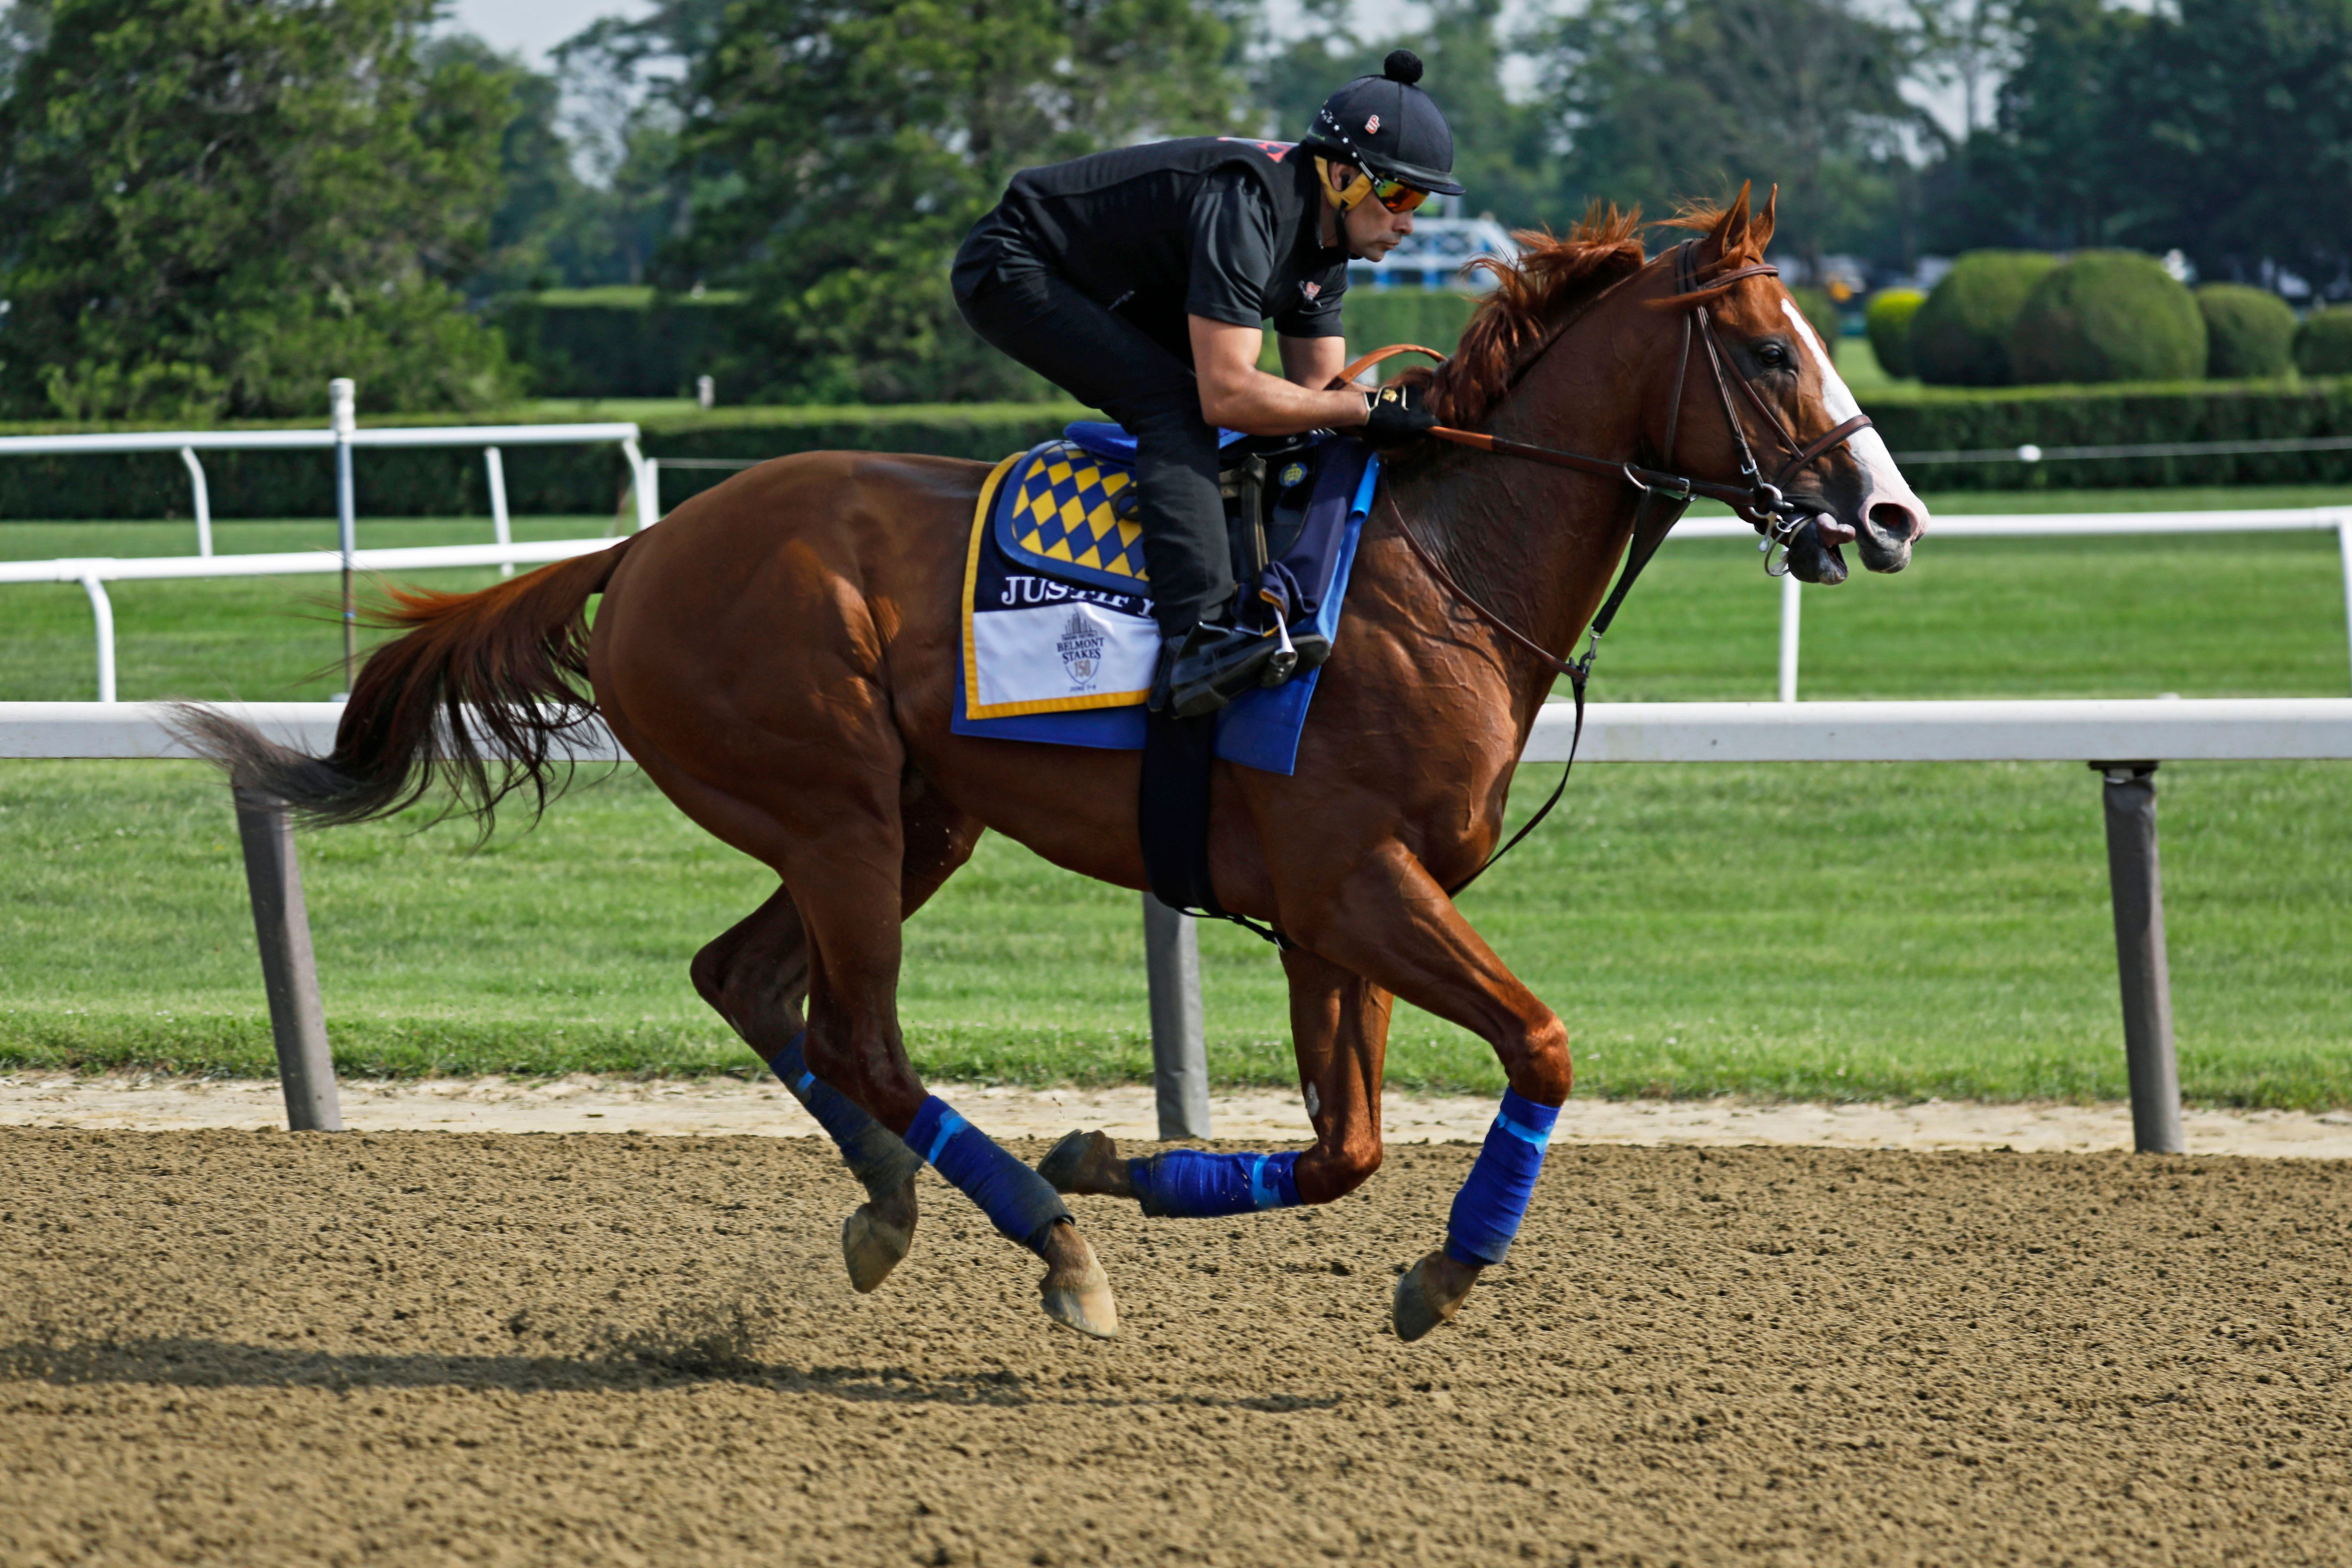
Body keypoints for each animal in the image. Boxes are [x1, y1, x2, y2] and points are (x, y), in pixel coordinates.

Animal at [184, 189, 1928, 1344]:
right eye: (1769, 353)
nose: (1891, 513)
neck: (1430, 568)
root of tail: (645, 541)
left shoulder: (1334, 909)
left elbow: (1346, 1145)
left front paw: (1133, 1161)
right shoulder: (1358, 882)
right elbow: (1542, 1049)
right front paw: (1436, 1270)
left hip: (908, 821)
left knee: (751, 984)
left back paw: (897, 1203)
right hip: (832, 808)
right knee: (858, 1032)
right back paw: (1045, 1244)